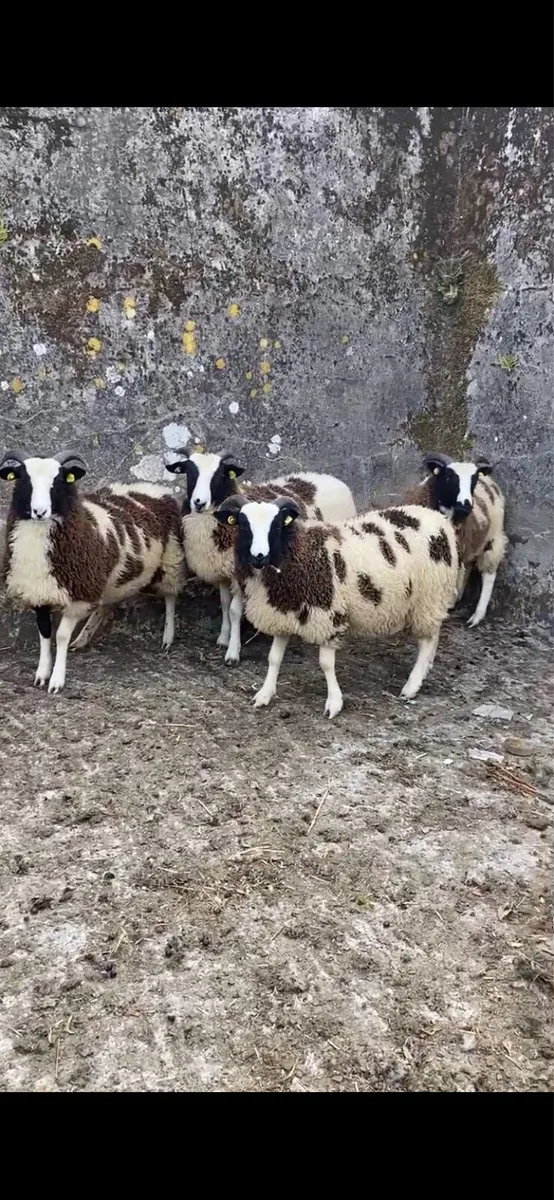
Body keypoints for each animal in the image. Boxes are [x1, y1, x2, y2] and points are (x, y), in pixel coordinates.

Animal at [0, 449, 185, 694]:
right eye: (23, 479)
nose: (39, 511)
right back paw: (82, 639)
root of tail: (154, 488)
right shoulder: (40, 591)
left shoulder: (80, 593)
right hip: (112, 577)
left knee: (171, 597)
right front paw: (41, 674)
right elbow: (45, 634)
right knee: (106, 605)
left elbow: (60, 636)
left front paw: (56, 681)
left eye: (58, 481)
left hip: (172, 557)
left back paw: (168, 637)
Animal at [165, 446, 356, 665]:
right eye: (189, 472)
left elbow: (235, 611)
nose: (199, 502)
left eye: (219, 474)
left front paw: (233, 652)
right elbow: (224, 603)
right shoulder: (223, 568)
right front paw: (223, 637)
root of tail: (334, 479)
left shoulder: (241, 573)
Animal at [214, 493, 459, 716]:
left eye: (275, 526)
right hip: (430, 600)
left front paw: (334, 703)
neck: (298, 555)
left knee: (427, 640)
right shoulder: (285, 611)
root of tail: (438, 519)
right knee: (434, 634)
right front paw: (264, 694)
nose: (259, 556)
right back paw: (426, 668)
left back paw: (412, 685)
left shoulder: (328, 616)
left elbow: (326, 664)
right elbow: (274, 658)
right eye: (243, 525)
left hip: (429, 596)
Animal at [403, 452, 508, 627]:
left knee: (488, 575)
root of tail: (490, 482)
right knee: (468, 566)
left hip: (493, 538)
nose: (465, 505)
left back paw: (476, 616)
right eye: (448, 477)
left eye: (473, 480)